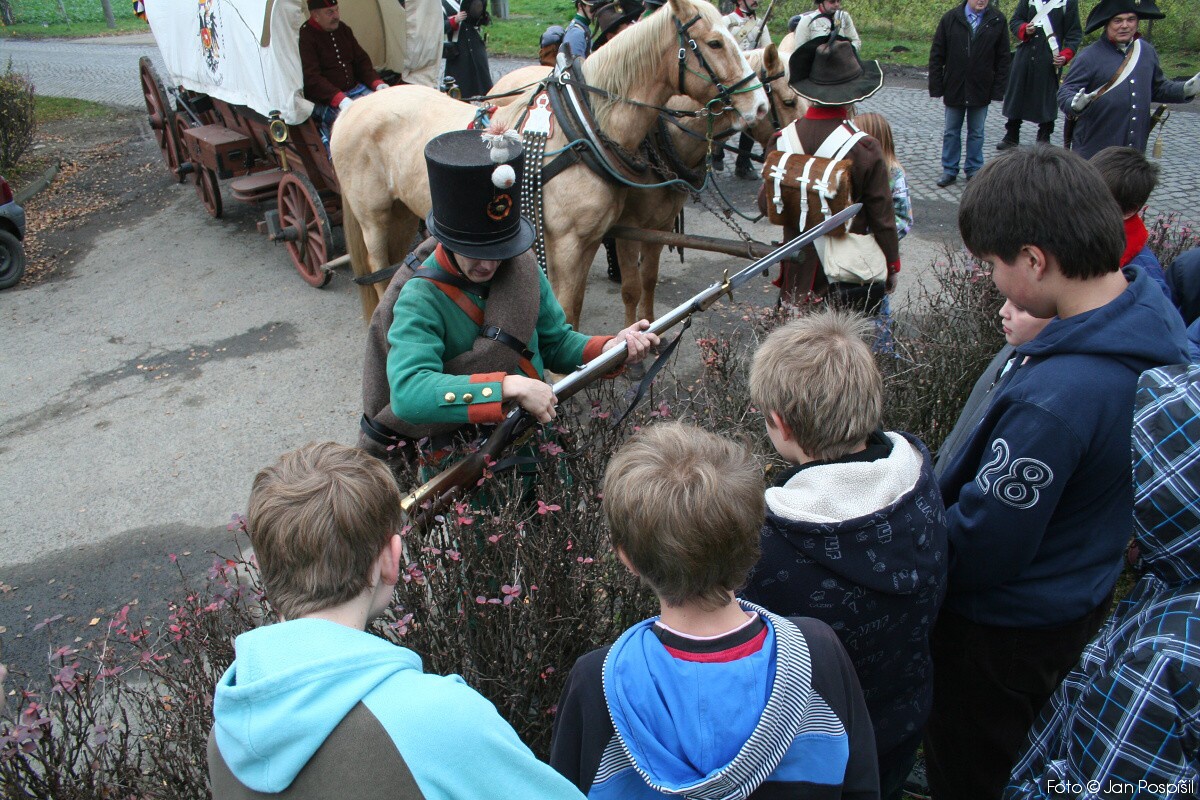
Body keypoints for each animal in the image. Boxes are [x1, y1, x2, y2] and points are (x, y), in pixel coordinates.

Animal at [331, 0, 768, 324]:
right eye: (714, 43)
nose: (759, 105)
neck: (581, 127)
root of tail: (356, 105)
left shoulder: (589, 243)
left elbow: (574, 308)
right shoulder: (567, 245)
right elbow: (565, 308)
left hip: (404, 214)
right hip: (374, 217)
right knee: (377, 269)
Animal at [612, 44, 805, 325]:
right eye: (789, 102)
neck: (663, 138)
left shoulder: (661, 224)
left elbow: (648, 279)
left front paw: (649, 320)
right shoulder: (628, 227)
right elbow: (631, 290)